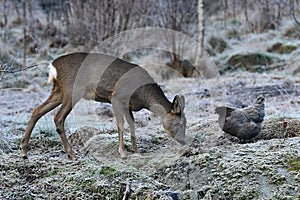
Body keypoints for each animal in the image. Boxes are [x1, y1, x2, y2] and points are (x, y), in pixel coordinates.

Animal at [19, 52, 185, 160]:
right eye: (180, 123)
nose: (184, 141)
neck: (144, 96)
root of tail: (53, 66)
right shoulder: (116, 97)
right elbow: (120, 124)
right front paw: (122, 152)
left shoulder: (128, 105)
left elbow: (132, 125)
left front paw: (136, 150)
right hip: (72, 90)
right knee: (58, 118)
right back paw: (71, 154)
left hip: (59, 91)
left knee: (37, 110)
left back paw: (23, 151)